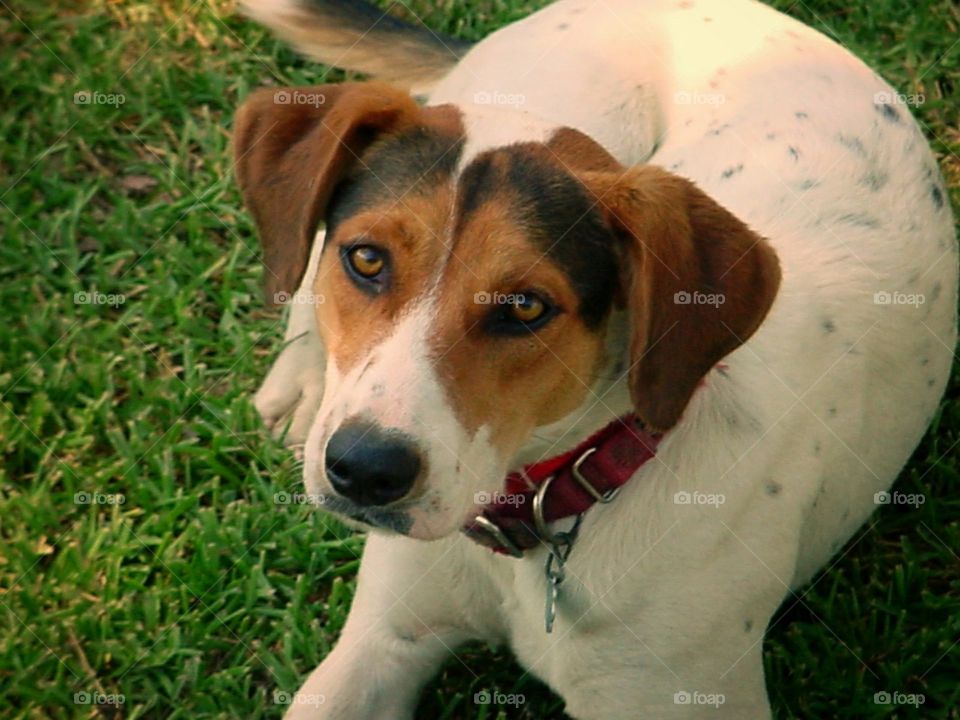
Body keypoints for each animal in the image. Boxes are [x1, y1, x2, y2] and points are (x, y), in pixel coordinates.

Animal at [234, 1, 960, 716]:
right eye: (366, 259)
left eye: (525, 307)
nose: (363, 470)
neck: (539, 508)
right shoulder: (381, 643)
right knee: (298, 256)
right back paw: (299, 385)